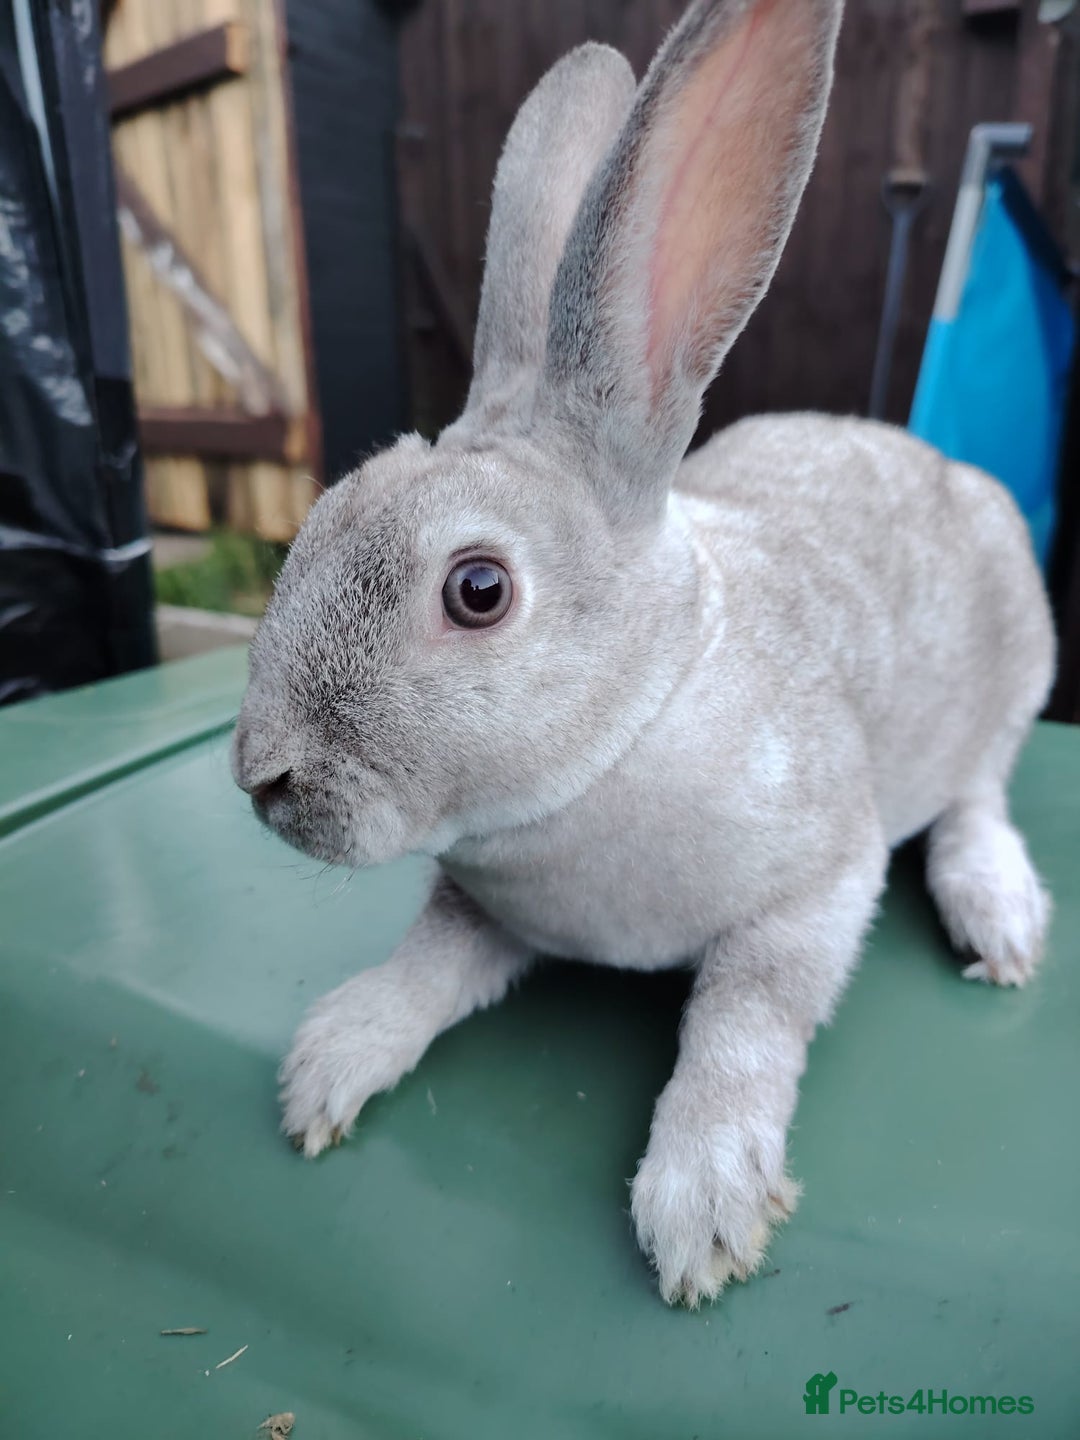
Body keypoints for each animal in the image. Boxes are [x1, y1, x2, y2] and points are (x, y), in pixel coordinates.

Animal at [232, 0, 1055, 1307]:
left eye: (478, 590)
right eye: (317, 522)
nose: (260, 774)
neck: (624, 737)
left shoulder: (817, 883)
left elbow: (745, 1023)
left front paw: (702, 1207)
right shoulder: (482, 907)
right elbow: (429, 963)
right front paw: (329, 1064)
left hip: (1015, 672)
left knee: (979, 793)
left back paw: (999, 914)